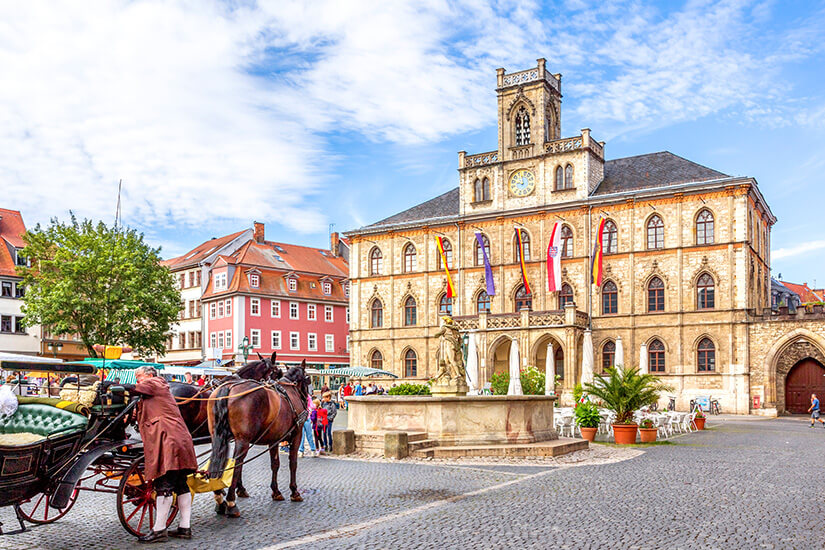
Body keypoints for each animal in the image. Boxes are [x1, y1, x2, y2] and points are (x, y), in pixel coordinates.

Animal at [206, 362, 308, 516]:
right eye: (308, 379)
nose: (308, 398)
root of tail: (228, 387)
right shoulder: (297, 434)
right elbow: (293, 463)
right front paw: (294, 491)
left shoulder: (274, 439)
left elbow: (275, 464)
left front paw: (276, 491)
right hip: (243, 440)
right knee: (237, 463)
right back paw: (231, 502)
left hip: (218, 436)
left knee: (218, 459)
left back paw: (219, 498)